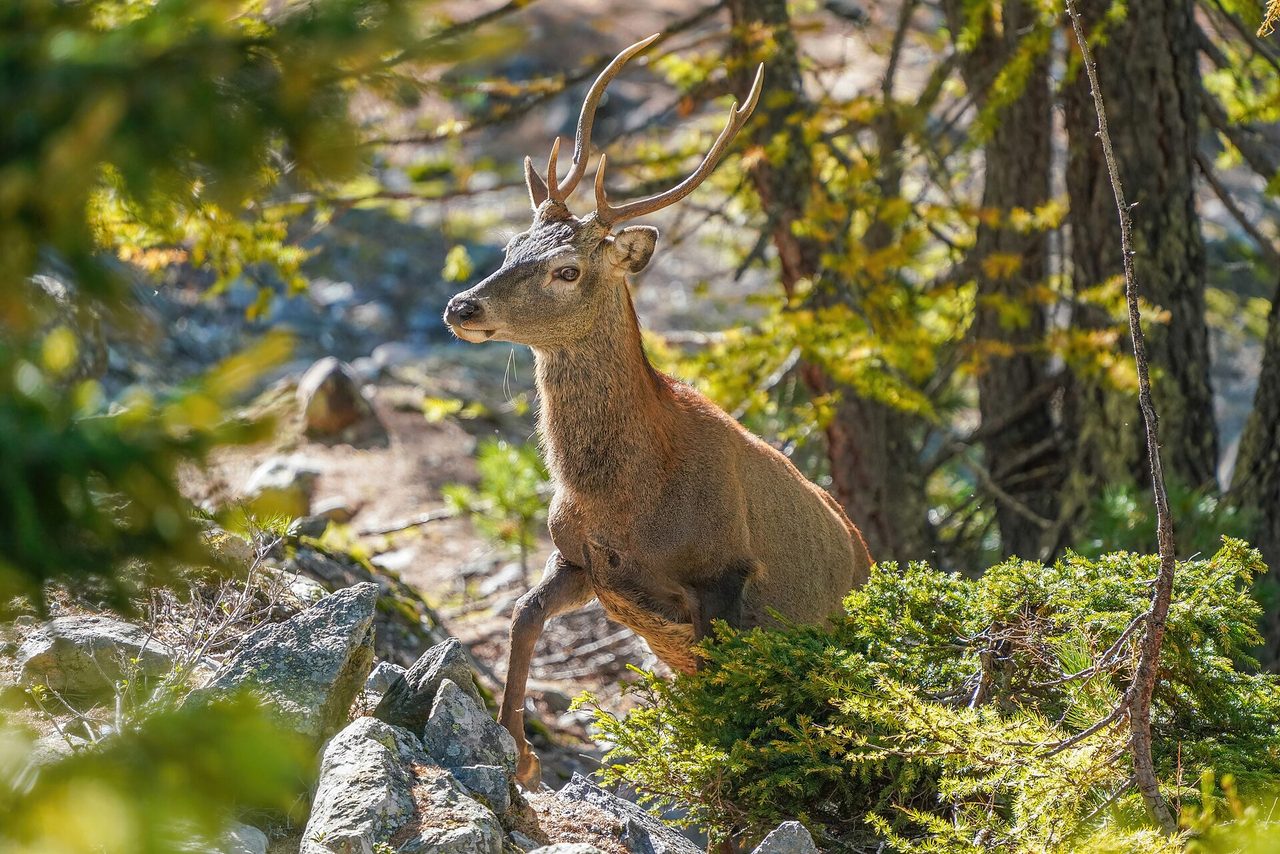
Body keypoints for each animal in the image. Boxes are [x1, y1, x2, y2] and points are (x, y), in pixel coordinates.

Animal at [443, 34, 873, 787]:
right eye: (510, 247)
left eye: (567, 271)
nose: (461, 306)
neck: (627, 496)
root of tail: (871, 558)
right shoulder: (584, 560)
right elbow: (523, 615)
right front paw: (519, 753)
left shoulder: (725, 579)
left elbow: (721, 721)